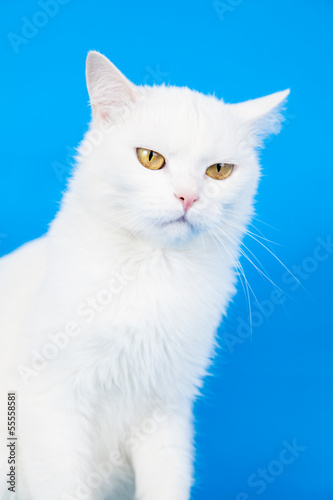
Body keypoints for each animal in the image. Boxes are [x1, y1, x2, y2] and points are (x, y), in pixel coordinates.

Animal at [0, 52, 288, 498]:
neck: (152, 273)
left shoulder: (166, 415)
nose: (188, 197)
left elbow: (166, 484)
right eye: (150, 158)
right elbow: (65, 485)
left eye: (219, 170)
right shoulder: (51, 405)